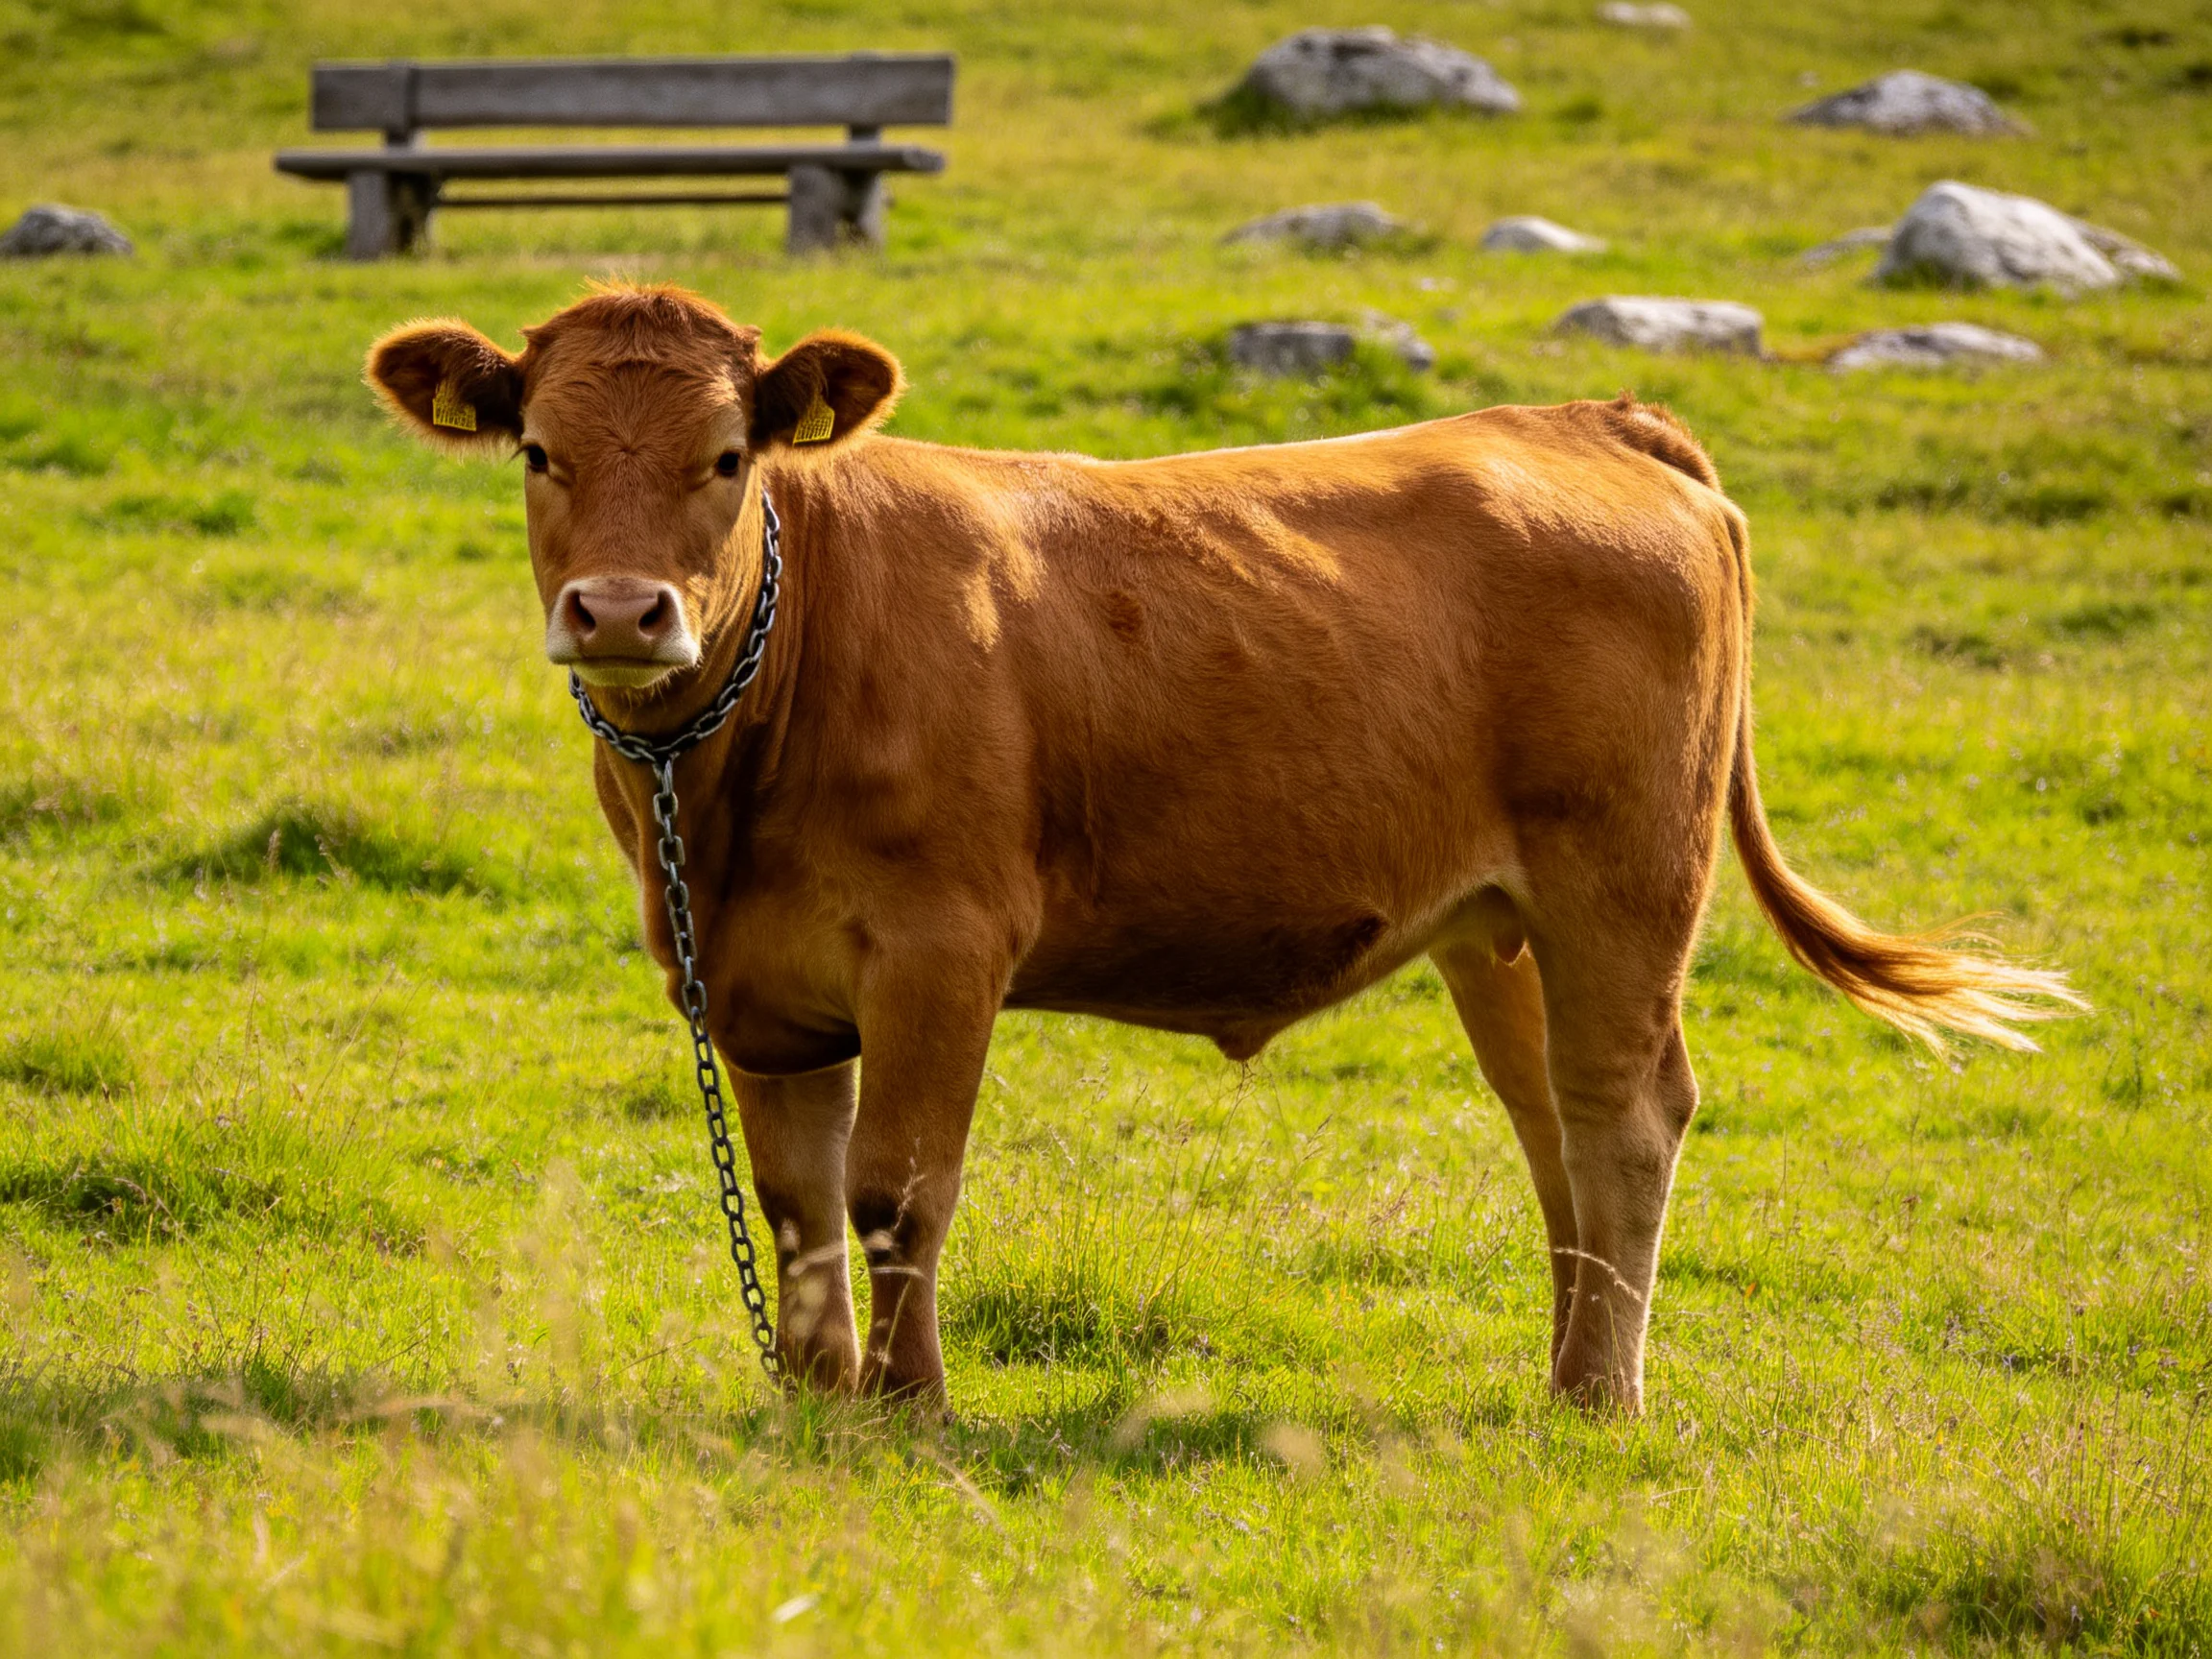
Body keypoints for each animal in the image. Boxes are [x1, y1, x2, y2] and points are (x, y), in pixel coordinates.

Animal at [366, 283, 2078, 1413]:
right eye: (539, 453)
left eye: (729, 458)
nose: (620, 613)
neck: (724, 775)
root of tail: (1584, 418)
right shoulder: (744, 980)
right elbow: (796, 1210)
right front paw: (811, 1403)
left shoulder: (941, 951)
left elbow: (897, 1189)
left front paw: (909, 1414)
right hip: (1501, 923)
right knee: (1555, 1132)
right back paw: (1565, 1369)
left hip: (1627, 885)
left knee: (1630, 1114)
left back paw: (1600, 1399)